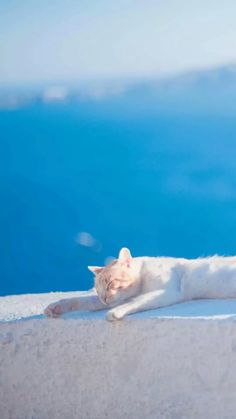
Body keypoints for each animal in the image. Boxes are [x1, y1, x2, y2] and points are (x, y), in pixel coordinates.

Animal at [44, 248, 236, 324]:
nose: (104, 299)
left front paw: (114, 312)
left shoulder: (167, 293)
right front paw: (55, 307)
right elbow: (81, 300)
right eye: (99, 291)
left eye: (110, 283)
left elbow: (135, 302)